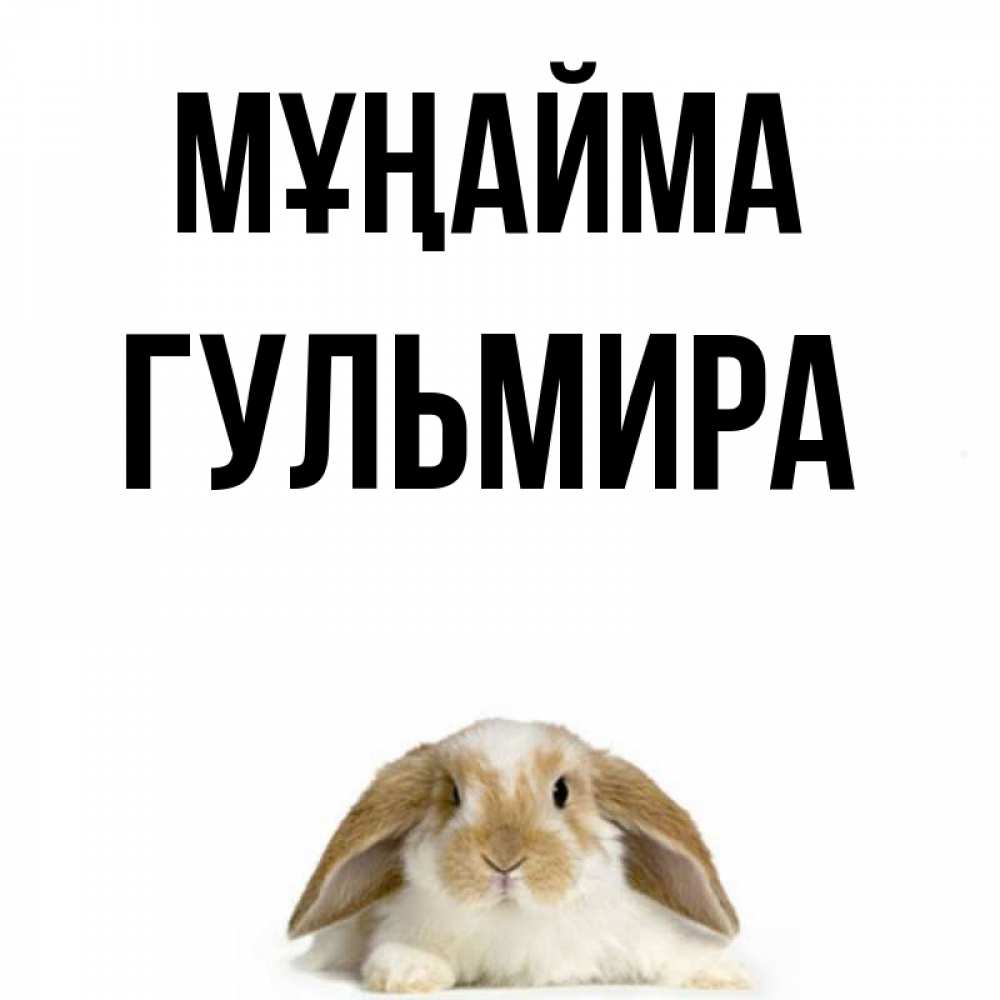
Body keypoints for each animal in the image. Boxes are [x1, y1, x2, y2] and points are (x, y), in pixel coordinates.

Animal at [288, 719, 750, 991]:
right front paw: (409, 973)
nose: (504, 859)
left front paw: (725, 973)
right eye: (453, 795)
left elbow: (674, 950)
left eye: (561, 791)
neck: (514, 918)